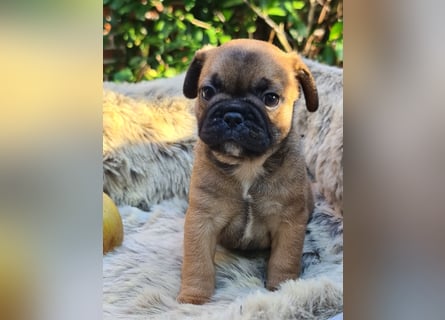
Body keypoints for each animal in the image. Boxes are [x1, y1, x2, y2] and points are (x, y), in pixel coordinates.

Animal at [175, 38, 318, 304]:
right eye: (207, 92)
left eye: (271, 98)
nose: (233, 115)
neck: (247, 164)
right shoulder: (202, 219)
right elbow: (198, 262)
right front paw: (193, 298)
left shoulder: (288, 222)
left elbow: (285, 259)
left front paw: (282, 289)